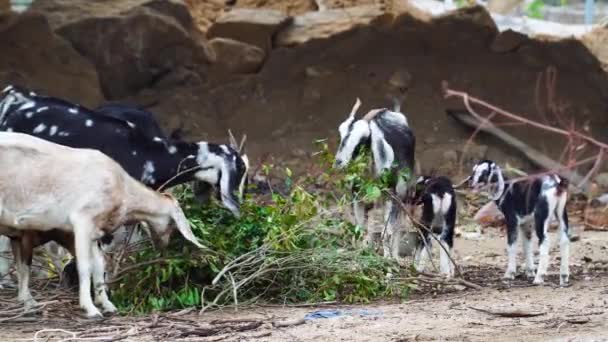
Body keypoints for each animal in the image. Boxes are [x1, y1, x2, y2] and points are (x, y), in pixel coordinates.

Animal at [0, 132, 204, 318]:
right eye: (172, 224)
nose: (162, 245)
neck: (122, 189)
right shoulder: (82, 221)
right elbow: (85, 267)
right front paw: (90, 309)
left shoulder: (95, 232)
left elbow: (99, 266)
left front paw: (107, 305)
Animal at [334, 98, 416, 260]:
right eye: (341, 134)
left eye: (362, 141)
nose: (339, 163)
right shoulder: (360, 194)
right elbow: (364, 225)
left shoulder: (388, 194)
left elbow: (385, 227)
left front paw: (387, 256)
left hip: (394, 194)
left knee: (390, 224)